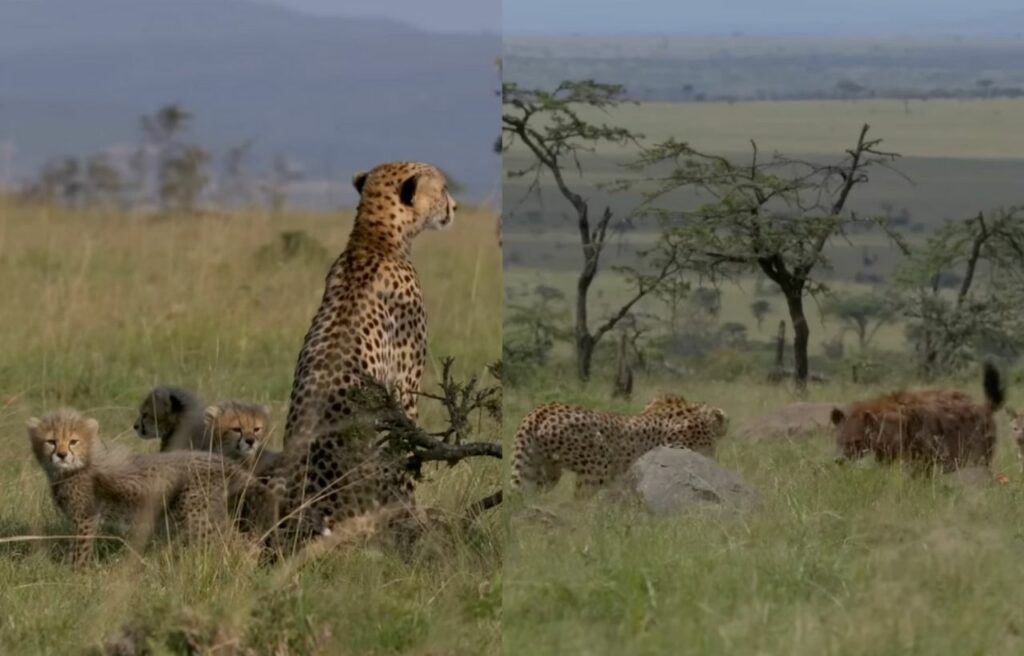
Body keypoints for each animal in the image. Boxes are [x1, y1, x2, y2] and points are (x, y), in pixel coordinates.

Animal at [28, 408, 277, 565]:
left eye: (73, 441)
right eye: (51, 441)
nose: (61, 455)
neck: (79, 465)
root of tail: (224, 461)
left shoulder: (86, 518)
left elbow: (80, 550)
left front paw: (76, 574)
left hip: (193, 511)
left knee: (231, 542)